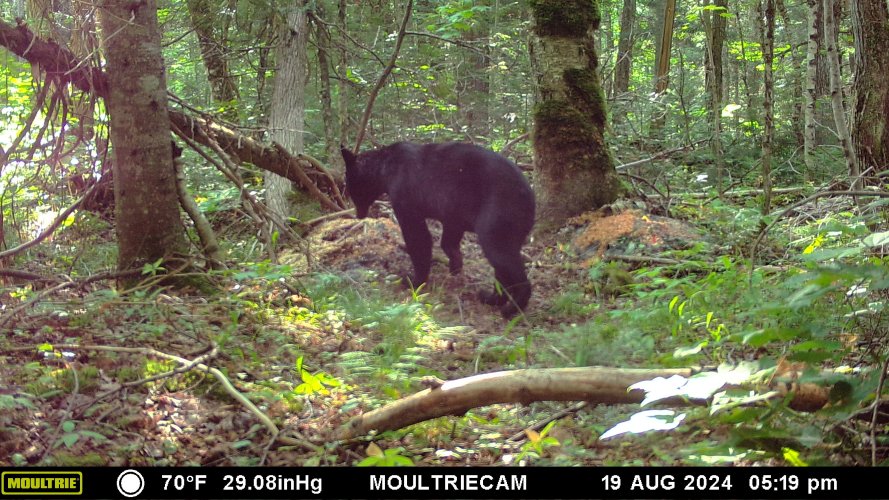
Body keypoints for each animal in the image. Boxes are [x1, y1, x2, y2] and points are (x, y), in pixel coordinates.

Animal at [341, 141, 535, 317]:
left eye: (349, 186)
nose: (358, 214)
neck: (384, 169)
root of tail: (530, 195)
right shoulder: (453, 212)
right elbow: (449, 238)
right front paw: (455, 266)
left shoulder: (406, 201)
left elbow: (418, 239)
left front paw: (414, 280)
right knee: (501, 268)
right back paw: (492, 297)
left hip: (497, 220)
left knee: (506, 261)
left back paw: (512, 308)